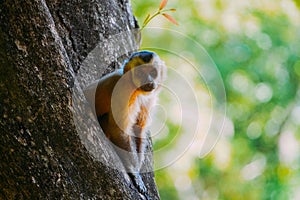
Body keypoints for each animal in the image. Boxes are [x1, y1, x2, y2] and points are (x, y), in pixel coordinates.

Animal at [88, 50, 168, 198]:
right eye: (140, 73)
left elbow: (138, 128)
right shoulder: (123, 89)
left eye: (153, 72)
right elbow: (118, 129)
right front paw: (134, 173)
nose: (149, 81)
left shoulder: (149, 97)